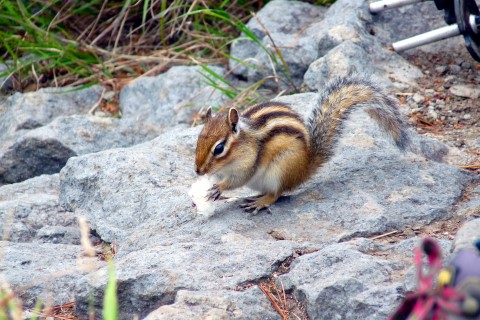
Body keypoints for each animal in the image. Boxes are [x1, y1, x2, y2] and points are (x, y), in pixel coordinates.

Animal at [194, 75, 408, 215]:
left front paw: (218, 188)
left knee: (276, 193)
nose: (197, 171)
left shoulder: (248, 164)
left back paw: (261, 202)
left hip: (280, 169)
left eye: (219, 148)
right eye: (198, 139)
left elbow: (238, 180)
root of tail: (305, 166)